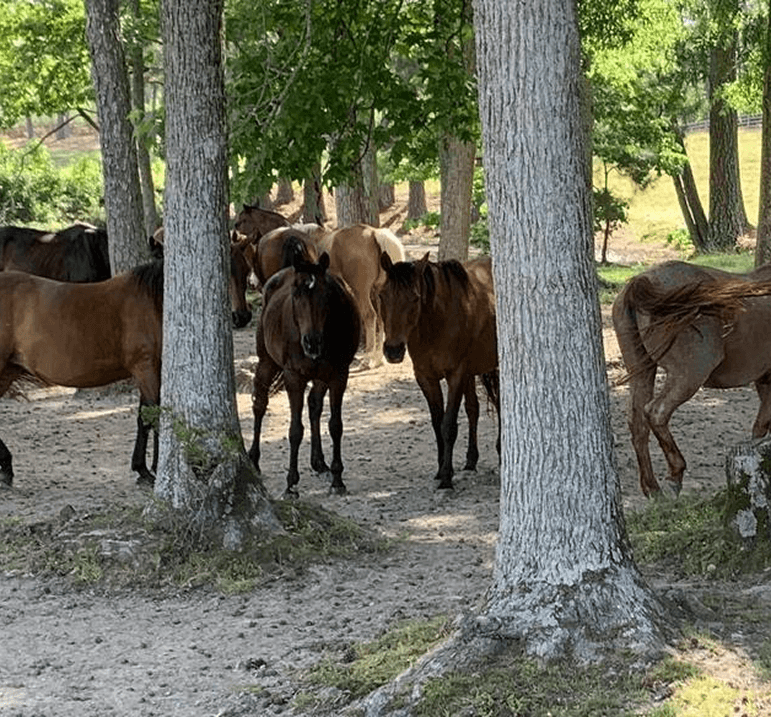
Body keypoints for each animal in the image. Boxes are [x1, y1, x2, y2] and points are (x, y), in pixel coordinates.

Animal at [0, 262, 164, 487]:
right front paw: (151, 469)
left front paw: (146, 468)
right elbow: (151, 415)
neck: (151, 300)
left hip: (8, 371)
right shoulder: (146, 368)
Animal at [248, 251, 361, 498]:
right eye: (295, 294)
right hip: (266, 361)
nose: (312, 342)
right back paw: (253, 459)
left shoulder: (339, 375)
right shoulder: (294, 377)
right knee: (259, 404)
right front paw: (291, 484)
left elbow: (335, 425)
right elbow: (295, 431)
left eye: (325, 295)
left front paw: (337, 478)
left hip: (320, 376)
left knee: (314, 405)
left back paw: (319, 463)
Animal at [378, 253, 499, 489]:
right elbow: (437, 424)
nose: (393, 350)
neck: (436, 323)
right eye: (382, 295)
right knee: (473, 409)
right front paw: (442, 469)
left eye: (415, 298)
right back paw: (471, 460)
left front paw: (446, 479)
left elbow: (448, 425)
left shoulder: (456, 375)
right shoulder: (426, 378)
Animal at [612, 260, 771, 497]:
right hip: (689, 373)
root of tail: (643, 279)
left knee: (638, 421)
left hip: (641, 370)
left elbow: (759, 428)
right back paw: (674, 474)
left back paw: (653, 489)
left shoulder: (764, 382)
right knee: (656, 412)